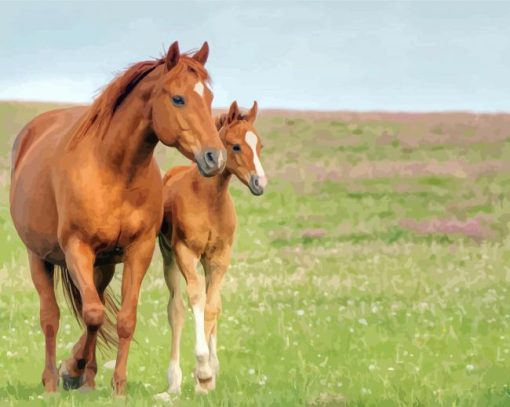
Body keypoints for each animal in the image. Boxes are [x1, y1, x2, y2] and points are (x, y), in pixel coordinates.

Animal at [8, 40, 225, 396]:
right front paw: (72, 369)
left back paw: (87, 378)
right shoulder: (77, 248)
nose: (214, 157)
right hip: (38, 257)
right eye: (179, 98)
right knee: (51, 317)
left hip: (103, 266)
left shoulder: (138, 251)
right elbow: (94, 314)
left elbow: (122, 319)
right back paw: (53, 380)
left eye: (209, 98)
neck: (114, 169)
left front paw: (116, 385)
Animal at [158, 101, 266, 396]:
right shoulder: (185, 253)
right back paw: (173, 382)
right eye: (236, 146)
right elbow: (196, 299)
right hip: (168, 257)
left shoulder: (219, 257)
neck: (208, 199)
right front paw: (202, 368)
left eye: (260, 145)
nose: (260, 183)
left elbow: (212, 307)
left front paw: (206, 376)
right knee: (176, 309)